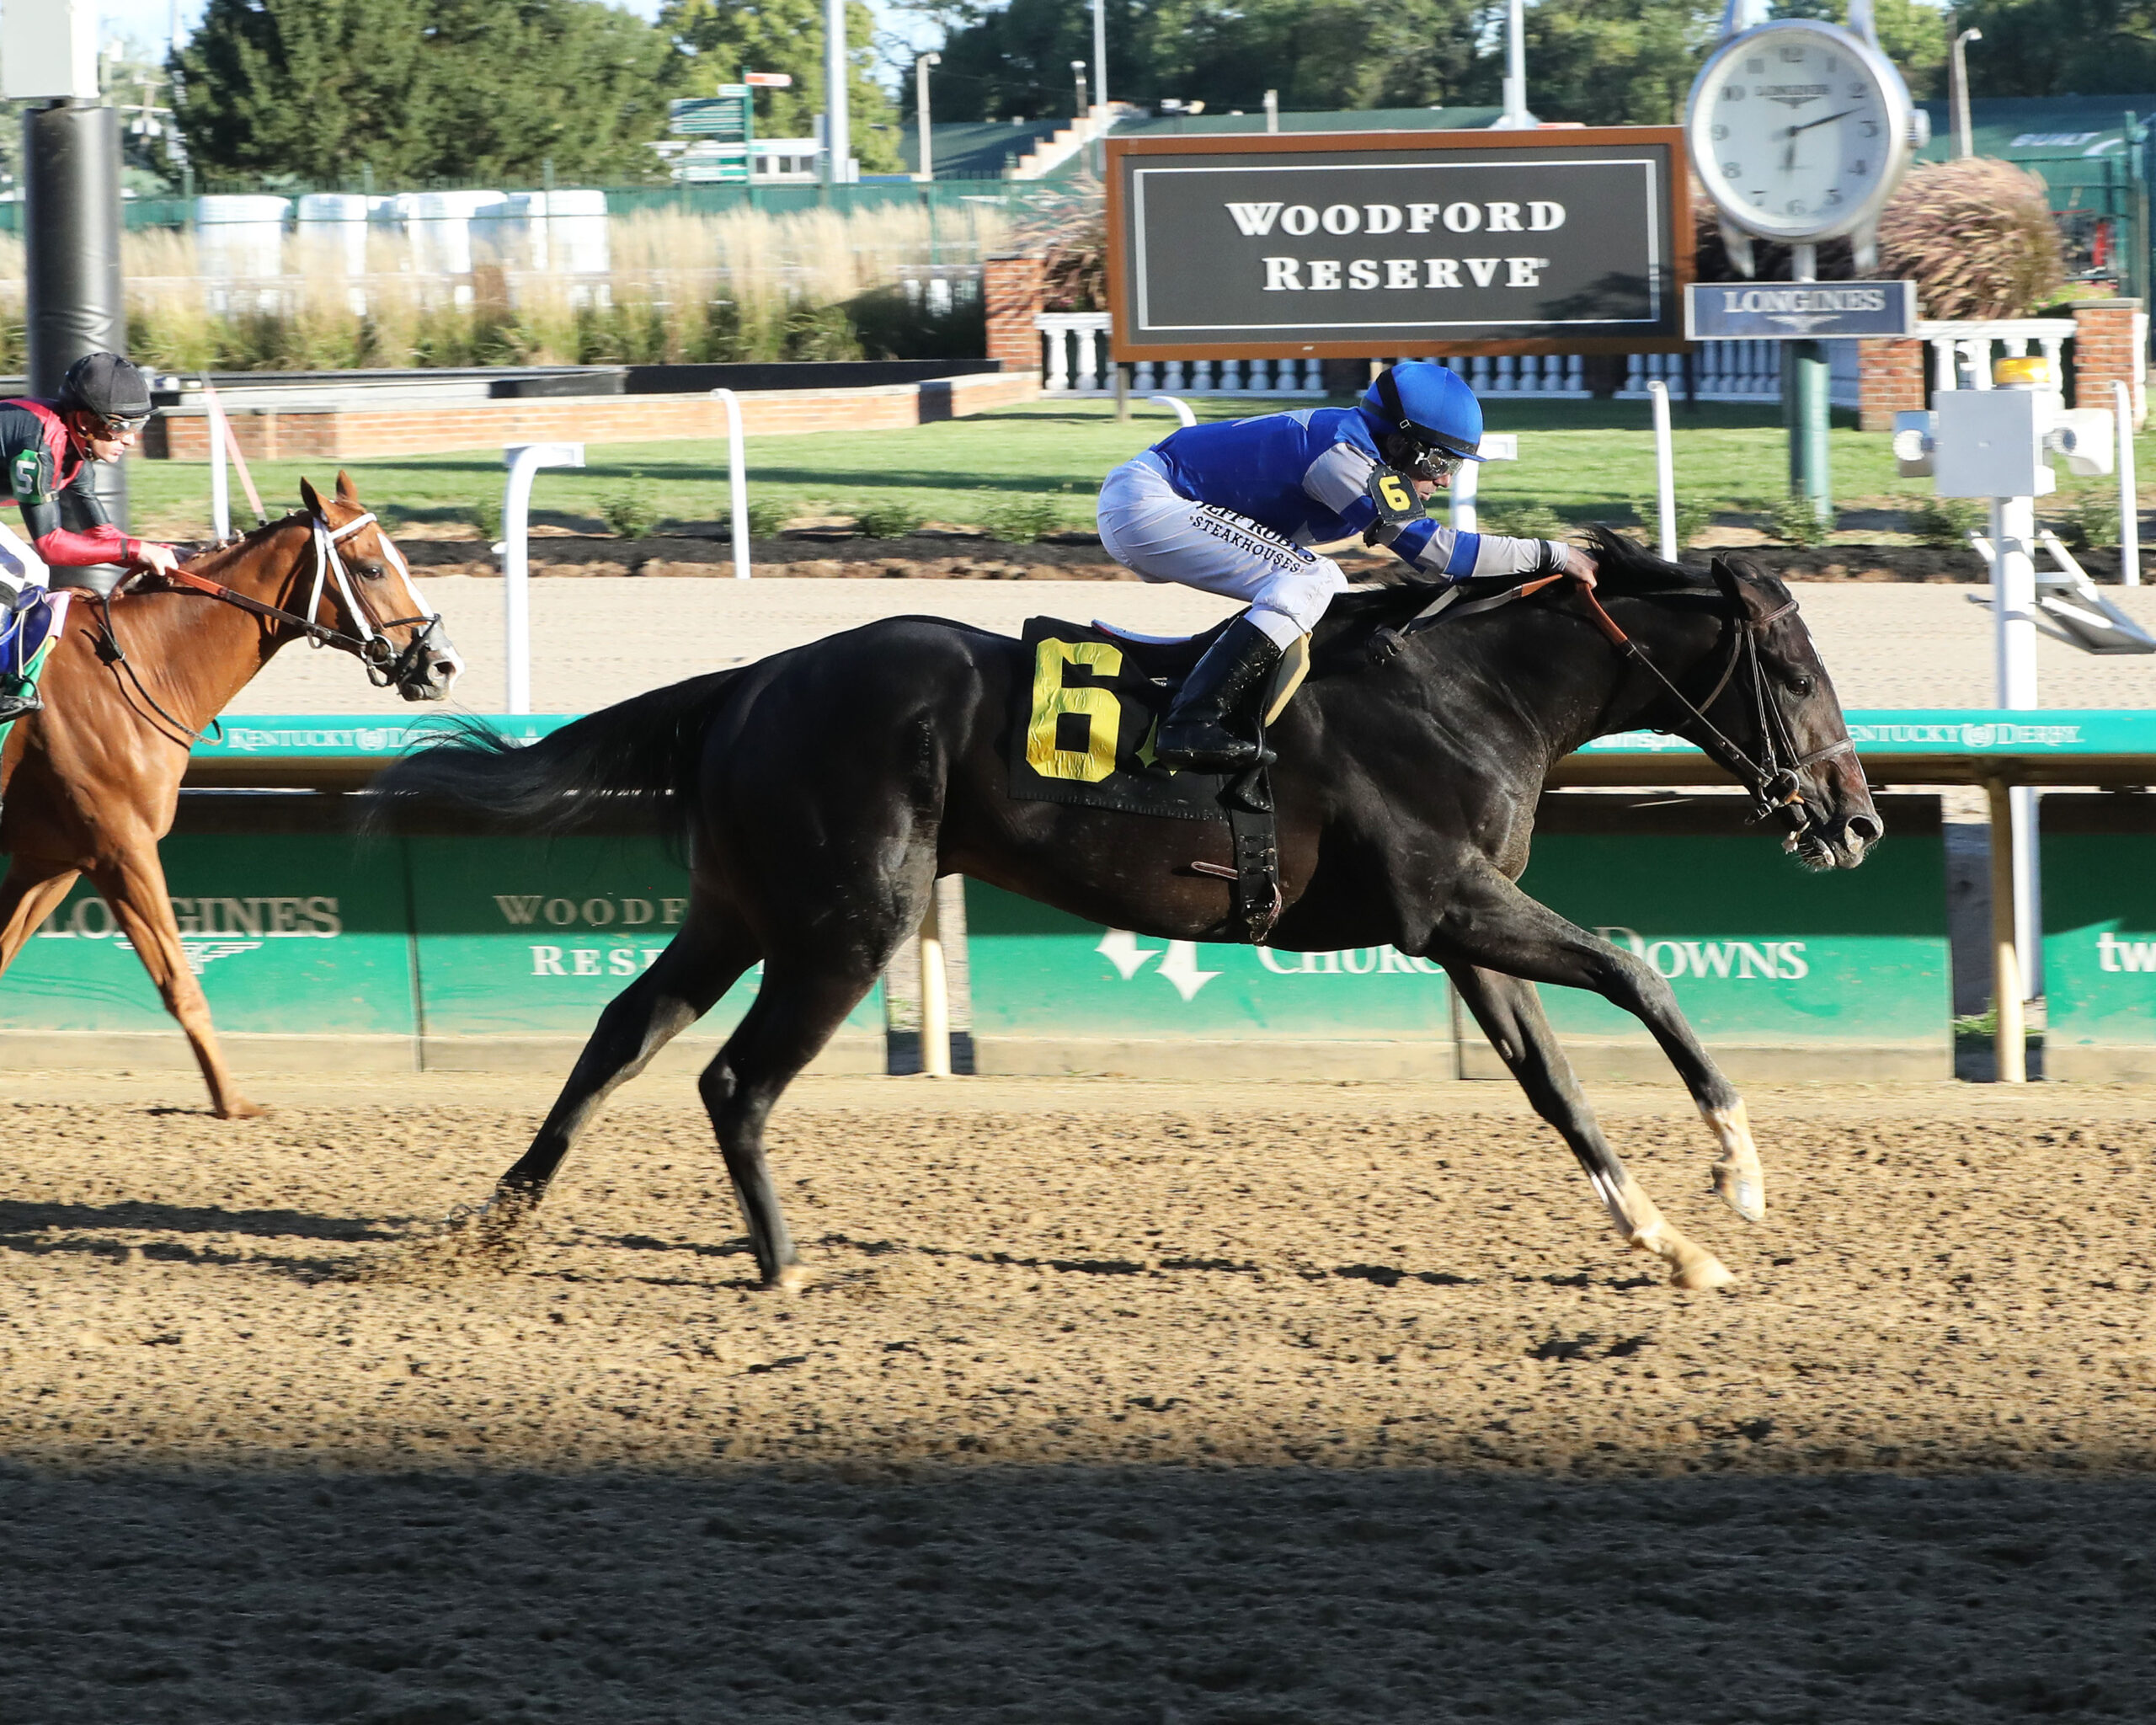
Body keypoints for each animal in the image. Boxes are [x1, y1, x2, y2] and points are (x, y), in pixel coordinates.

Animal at [0, 472, 463, 1121]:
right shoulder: (122, 848)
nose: (443, 664)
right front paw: (233, 1102)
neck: (136, 666)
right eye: (372, 568)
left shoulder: (52, 859)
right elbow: (180, 984)